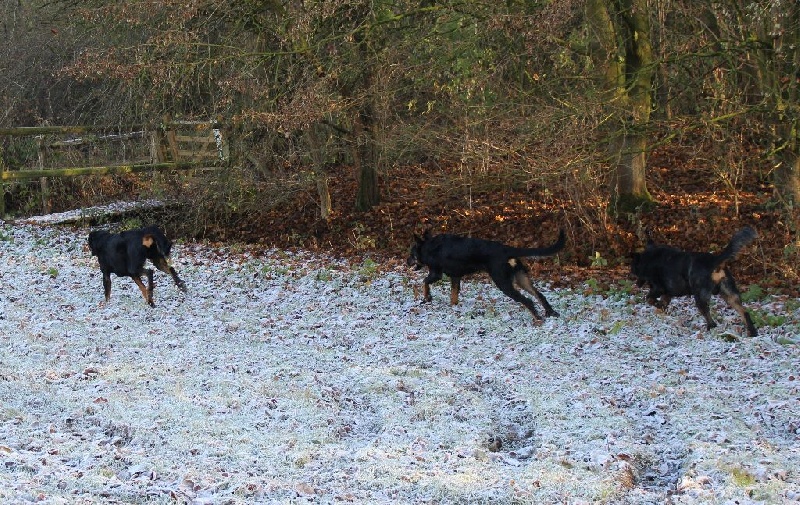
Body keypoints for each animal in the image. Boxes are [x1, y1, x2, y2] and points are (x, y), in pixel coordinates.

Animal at [407, 229, 565, 321]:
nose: (407, 261)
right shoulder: (455, 277)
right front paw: (453, 306)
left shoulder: (436, 273)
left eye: (411, 254)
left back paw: (537, 318)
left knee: (528, 301)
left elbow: (424, 282)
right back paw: (551, 312)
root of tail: (508, 249)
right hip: (521, 279)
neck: (428, 246)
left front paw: (427, 298)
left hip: (503, 282)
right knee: (539, 295)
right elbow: (454, 295)